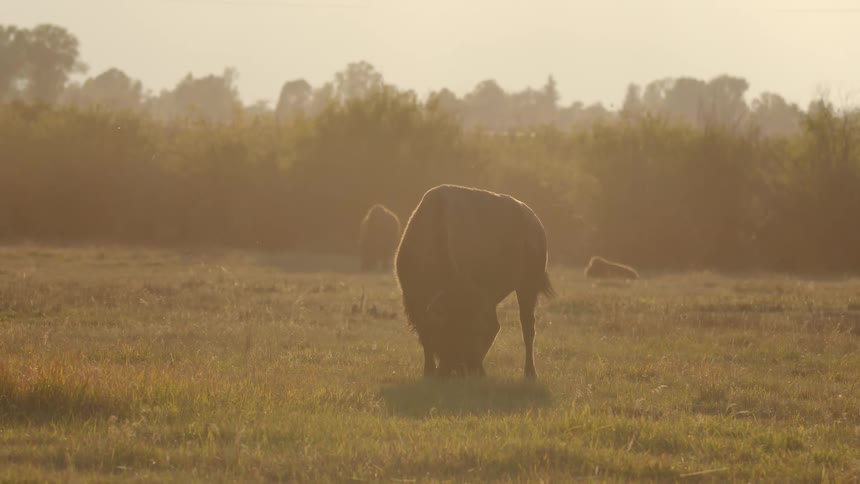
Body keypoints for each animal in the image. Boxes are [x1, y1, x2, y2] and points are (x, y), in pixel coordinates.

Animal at [395, 185, 555, 379]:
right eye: (445, 331)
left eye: (467, 332)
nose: (458, 369)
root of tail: (534, 222)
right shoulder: (414, 300)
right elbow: (425, 336)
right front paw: (429, 372)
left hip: (527, 287)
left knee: (526, 327)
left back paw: (529, 372)